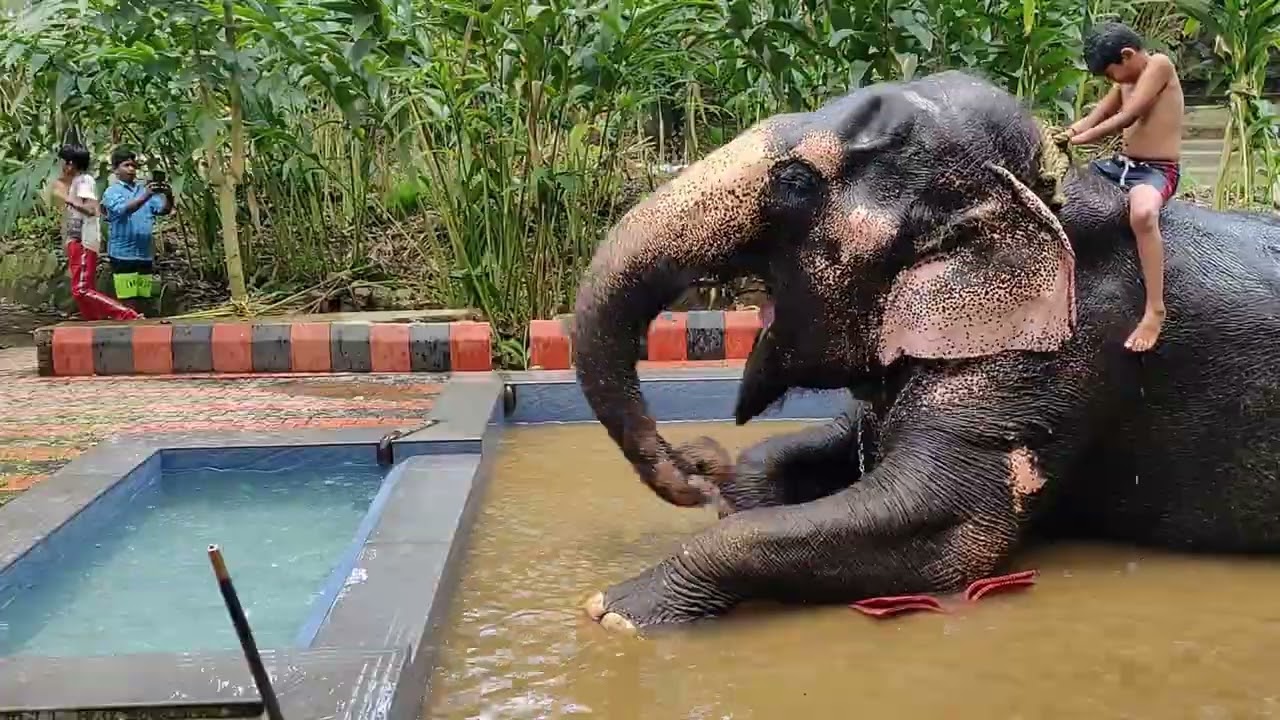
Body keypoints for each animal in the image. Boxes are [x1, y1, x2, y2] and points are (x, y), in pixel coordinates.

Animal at [569, 69, 1280, 633]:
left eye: (796, 181)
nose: (693, 469)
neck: (1035, 194)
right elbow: (840, 439)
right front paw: (736, 492)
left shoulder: (1060, 348)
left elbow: (942, 527)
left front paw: (617, 611)